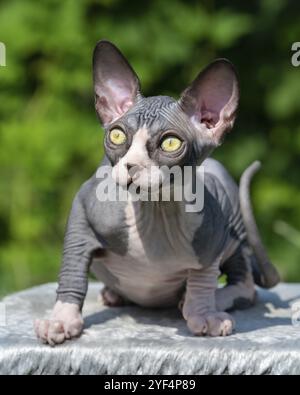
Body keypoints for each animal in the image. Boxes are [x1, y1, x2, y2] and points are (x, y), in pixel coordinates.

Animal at [35, 38, 282, 344]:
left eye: (170, 143)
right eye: (117, 135)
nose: (131, 166)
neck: (155, 210)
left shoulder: (213, 238)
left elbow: (202, 279)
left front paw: (204, 315)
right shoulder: (82, 213)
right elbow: (72, 273)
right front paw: (60, 320)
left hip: (232, 209)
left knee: (246, 284)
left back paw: (213, 299)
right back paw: (113, 294)